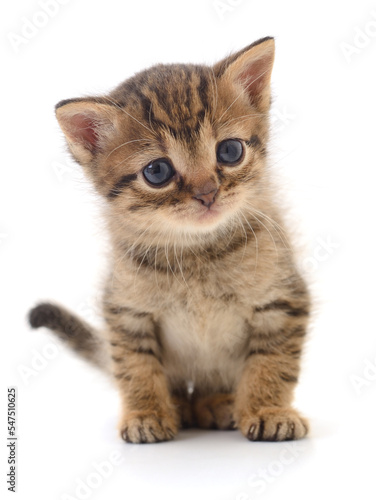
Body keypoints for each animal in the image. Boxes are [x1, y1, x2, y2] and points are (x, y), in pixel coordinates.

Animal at [28, 37, 312, 444]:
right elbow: (136, 368)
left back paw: (217, 404)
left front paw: (268, 409)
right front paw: (146, 413)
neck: (197, 252)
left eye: (230, 151)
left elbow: (273, 362)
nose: (207, 193)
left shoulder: (282, 299)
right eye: (157, 171)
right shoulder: (127, 312)